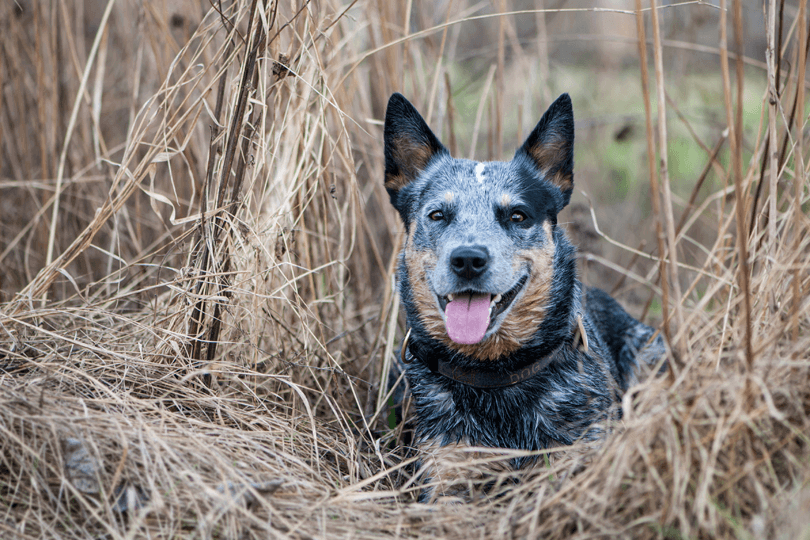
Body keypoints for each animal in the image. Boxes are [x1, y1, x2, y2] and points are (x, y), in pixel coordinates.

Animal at [382, 92, 664, 498]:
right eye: (437, 215)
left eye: (517, 215)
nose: (468, 259)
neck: (493, 375)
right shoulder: (444, 470)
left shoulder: (578, 459)